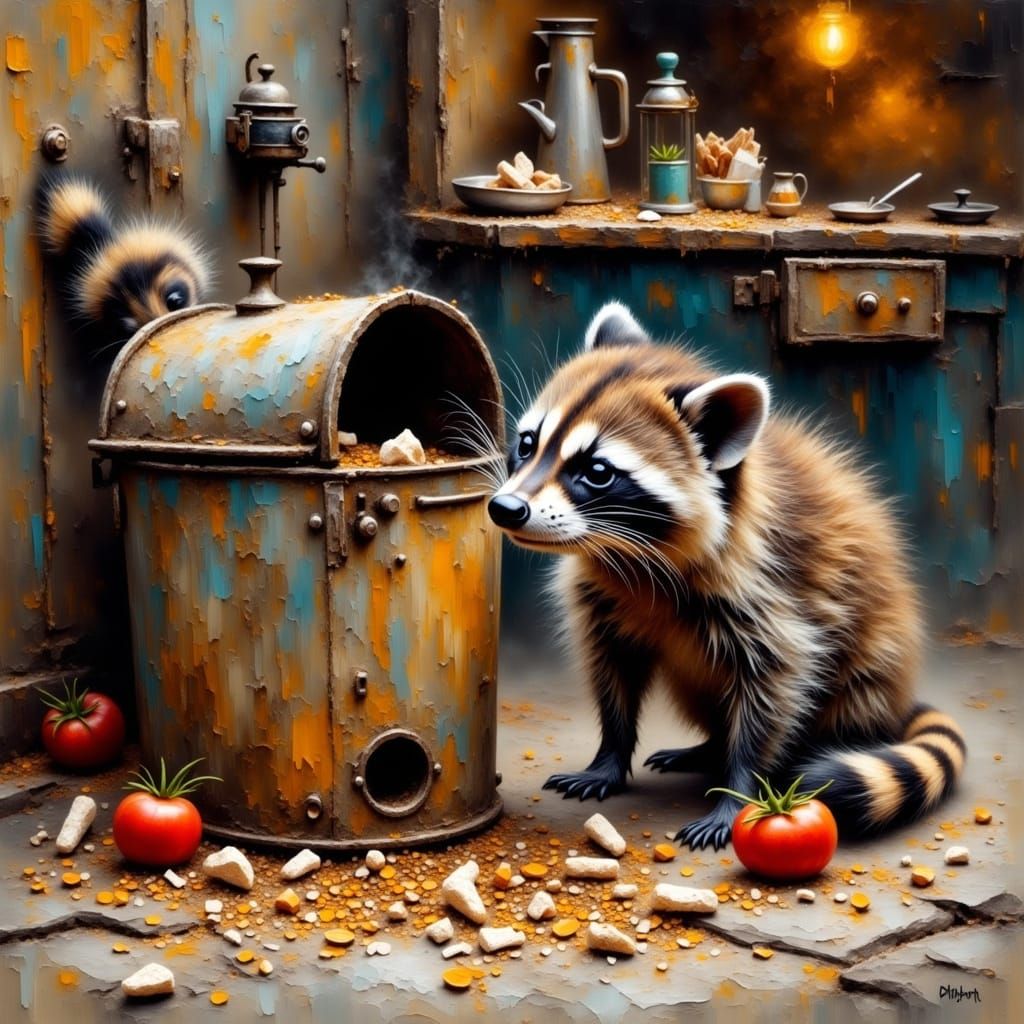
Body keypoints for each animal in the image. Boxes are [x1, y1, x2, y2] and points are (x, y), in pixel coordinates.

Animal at [487, 302, 966, 850]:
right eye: (528, 445)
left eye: (598, 472)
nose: (505, 508)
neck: (630, 553)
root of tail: (898, 702)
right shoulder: (599, 600)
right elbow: (613, 676)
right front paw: (609, 754)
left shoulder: (768, 594)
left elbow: (775, 688)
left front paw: (739, 792)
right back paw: (709, 745)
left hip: (869, 671)